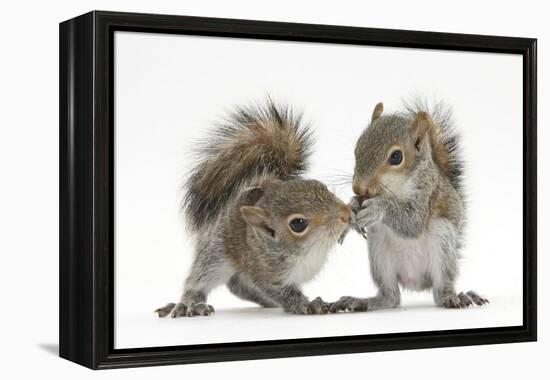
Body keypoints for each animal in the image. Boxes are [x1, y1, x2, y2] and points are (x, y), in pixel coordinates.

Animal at [155, 98, 354, 318]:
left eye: (320, 186)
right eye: (298, 224)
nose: (345, 215)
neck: (309, 251)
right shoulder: (265, 273)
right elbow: (284, 293)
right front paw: (307, 305)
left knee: (239, 285)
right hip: (215, 255)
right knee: (200, 280)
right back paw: (189, 304)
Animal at [332, 100, 492, 312]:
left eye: (396, 157)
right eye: (357, 148)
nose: (358, 187)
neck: (395, 188)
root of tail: (415, 282)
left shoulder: (427, 193)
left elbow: (413, 222)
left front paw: (377, 208)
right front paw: (351, 206)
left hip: (442, 240)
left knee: (440, 291)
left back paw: (455, 297)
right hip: (379, 250)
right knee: (391, 297)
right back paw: (361, 301)